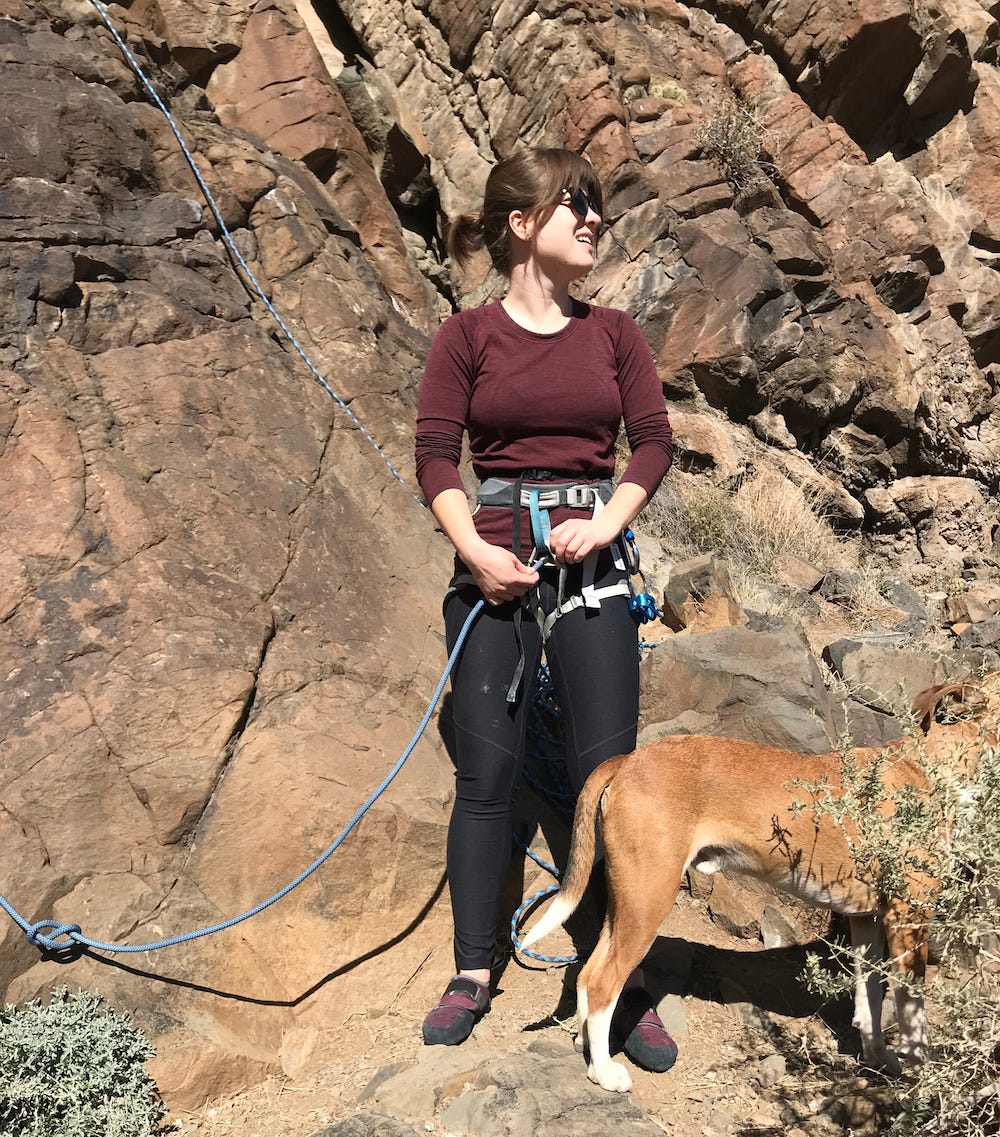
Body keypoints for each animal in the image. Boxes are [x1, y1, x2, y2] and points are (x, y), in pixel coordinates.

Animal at [522, 681, 988, 1093]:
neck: (929, 768)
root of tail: (628, 759)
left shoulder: (867, 919)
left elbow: (869, 998)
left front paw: (879, 1059)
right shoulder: (909, 916)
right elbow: (914, 1014)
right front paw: (923, 1078)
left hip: (626, 902)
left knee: (587, 976)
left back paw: (586, 1050)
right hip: (649, 900)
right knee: (603, 984)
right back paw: (605, 1073)